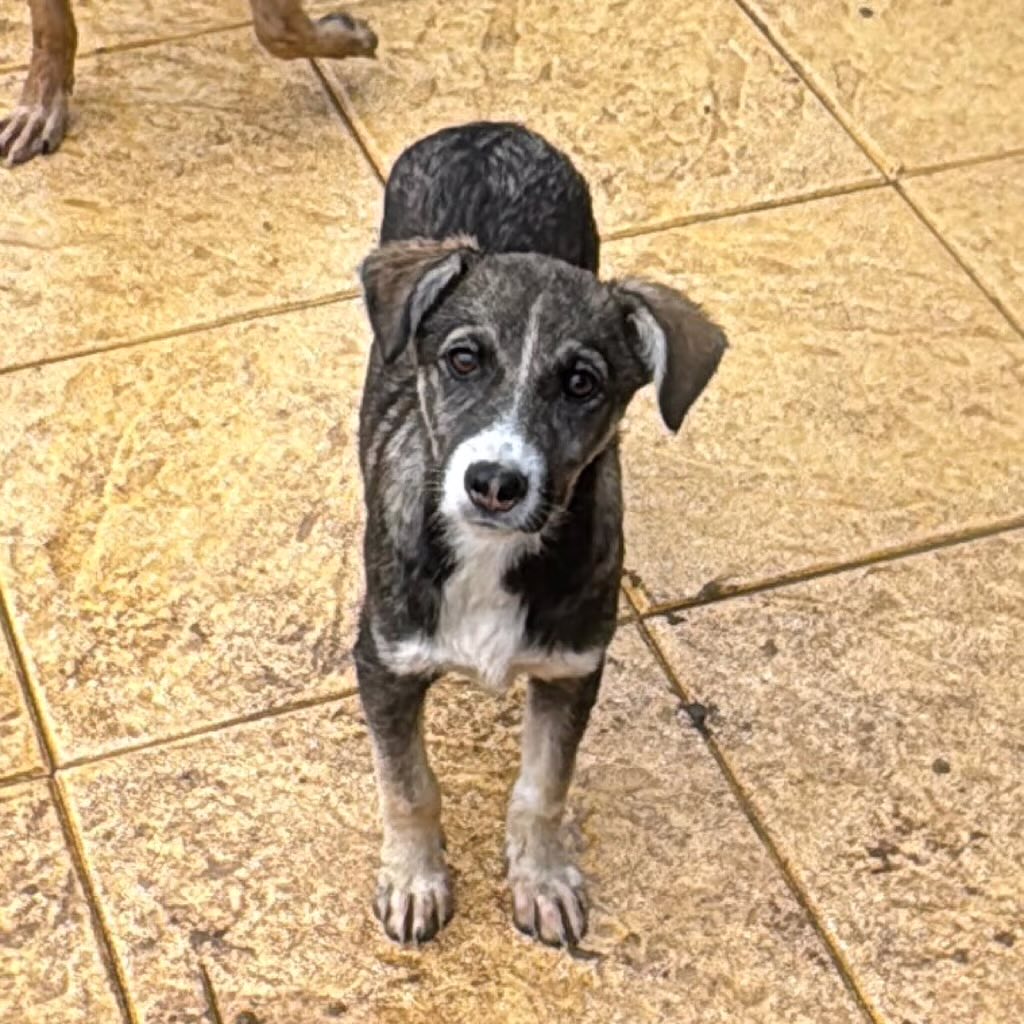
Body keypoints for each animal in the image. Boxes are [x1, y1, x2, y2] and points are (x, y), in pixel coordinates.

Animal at [355, 121, 727, 947]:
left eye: (582, 383)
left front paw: (544, 880)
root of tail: (491, 129)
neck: (490, 558)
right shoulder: (385, 663)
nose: (495, 483)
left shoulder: (571, 669)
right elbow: (408, 786)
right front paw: (414, 880)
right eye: (463, 359)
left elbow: (541, 788)